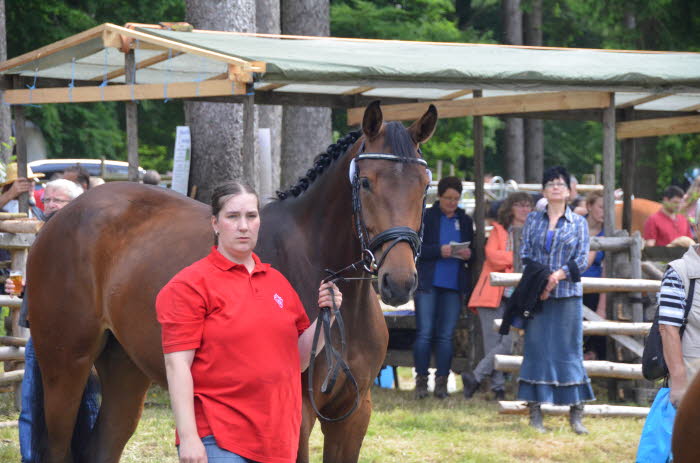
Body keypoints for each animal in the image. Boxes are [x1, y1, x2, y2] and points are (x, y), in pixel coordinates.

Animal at [27, 101, 438, 463]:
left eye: (424, 184)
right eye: (366, 182)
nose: (399, 282)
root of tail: (60, 218)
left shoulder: (353, 413)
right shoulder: (297, 417)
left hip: (125, 369)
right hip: (66, 366)